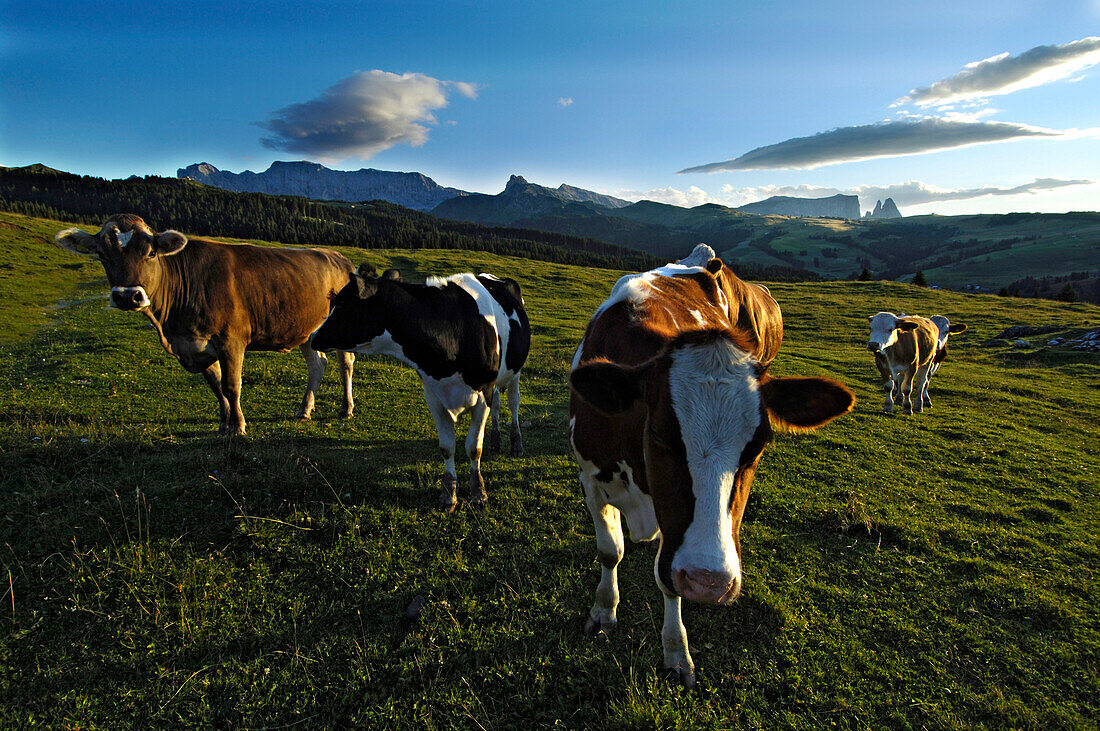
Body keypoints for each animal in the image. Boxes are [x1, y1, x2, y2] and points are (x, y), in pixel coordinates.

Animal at [53, 212, 354, 433]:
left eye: (150, 253)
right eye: (102, 254)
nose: (127, 295)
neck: (172, 327)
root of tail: (339, 257)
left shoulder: (231, 340)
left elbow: (232, 385)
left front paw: (238, 426)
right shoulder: (195, 345)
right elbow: (216, 386)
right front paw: (223, 423)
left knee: (345, 365)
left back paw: (346, 408)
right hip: (306, 328)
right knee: (317, 364)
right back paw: (304, 410)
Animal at [310, 264, 532, 510]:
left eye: (341, 304)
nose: (312, 336)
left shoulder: (483, 392)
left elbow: (474, 448)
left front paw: (478, 494)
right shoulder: (434, 395)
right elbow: (447, 447)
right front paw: (448, 495)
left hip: (515, 372)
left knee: (513, 402)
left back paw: (516, 444)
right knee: (498, 405)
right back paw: (495, 440)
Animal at [567, 244, 849, 685]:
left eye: (757, 447)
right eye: (659, 434)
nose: (708, 582)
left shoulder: (672, 529)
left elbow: (666, 581)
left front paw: (675, 652)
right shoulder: (591, 480)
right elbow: (609, 551)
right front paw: (603, 611)